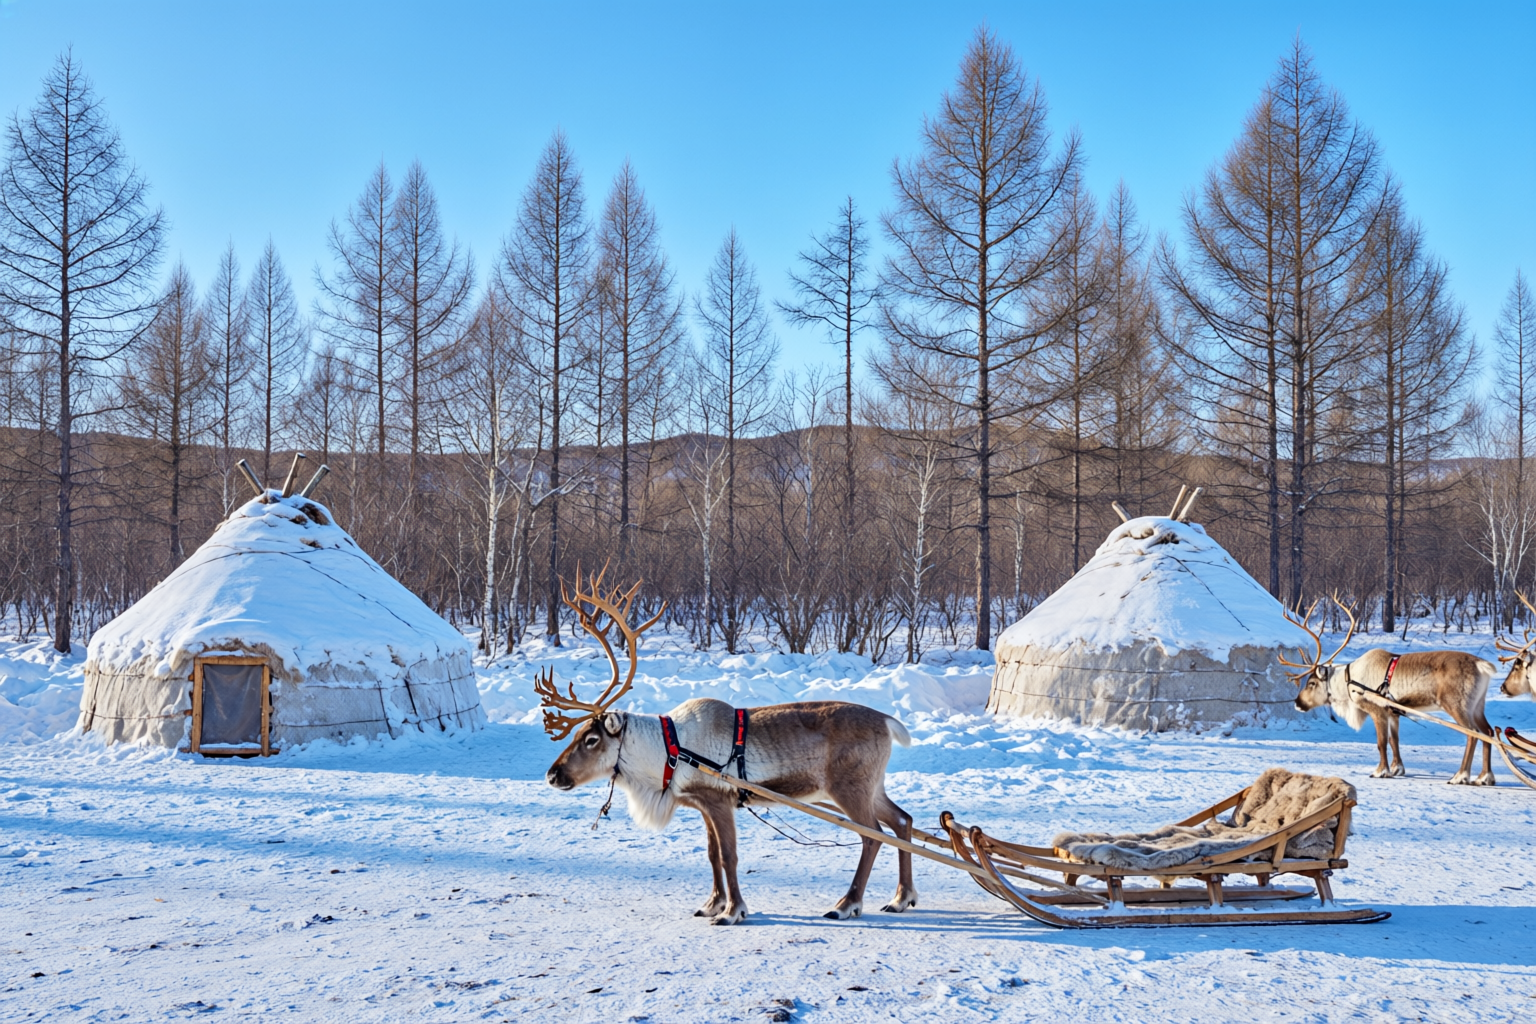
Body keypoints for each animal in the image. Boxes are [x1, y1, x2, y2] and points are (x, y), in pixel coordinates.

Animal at [538, 566, 918, 926]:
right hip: (870, 788)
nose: (552, 775)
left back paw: (846, 904)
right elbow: (711, 854)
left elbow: (728, 856)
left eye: (591, 739)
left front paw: (732, 911)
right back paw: (902, 897)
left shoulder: (718, 801)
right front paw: (712, 904)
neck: (668, 752)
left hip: (849, 788)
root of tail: (888, 721)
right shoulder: (702, 804)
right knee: (902, 820)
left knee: (873, 835)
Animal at [1282, 598, 1498, 785]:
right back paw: (1484, 777)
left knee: (1473, 733)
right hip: (1477, 706)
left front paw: (1380, 771)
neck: (1347, 683)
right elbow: (1394, 740)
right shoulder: (1393, 712)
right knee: (1488, 731)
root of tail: (1482, 665)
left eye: (1311, 683)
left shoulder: (1377, 710)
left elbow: (1381, 742)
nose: (1297, 703)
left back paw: (1460, 776)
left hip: (1456, 705)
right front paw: (1397, 769)